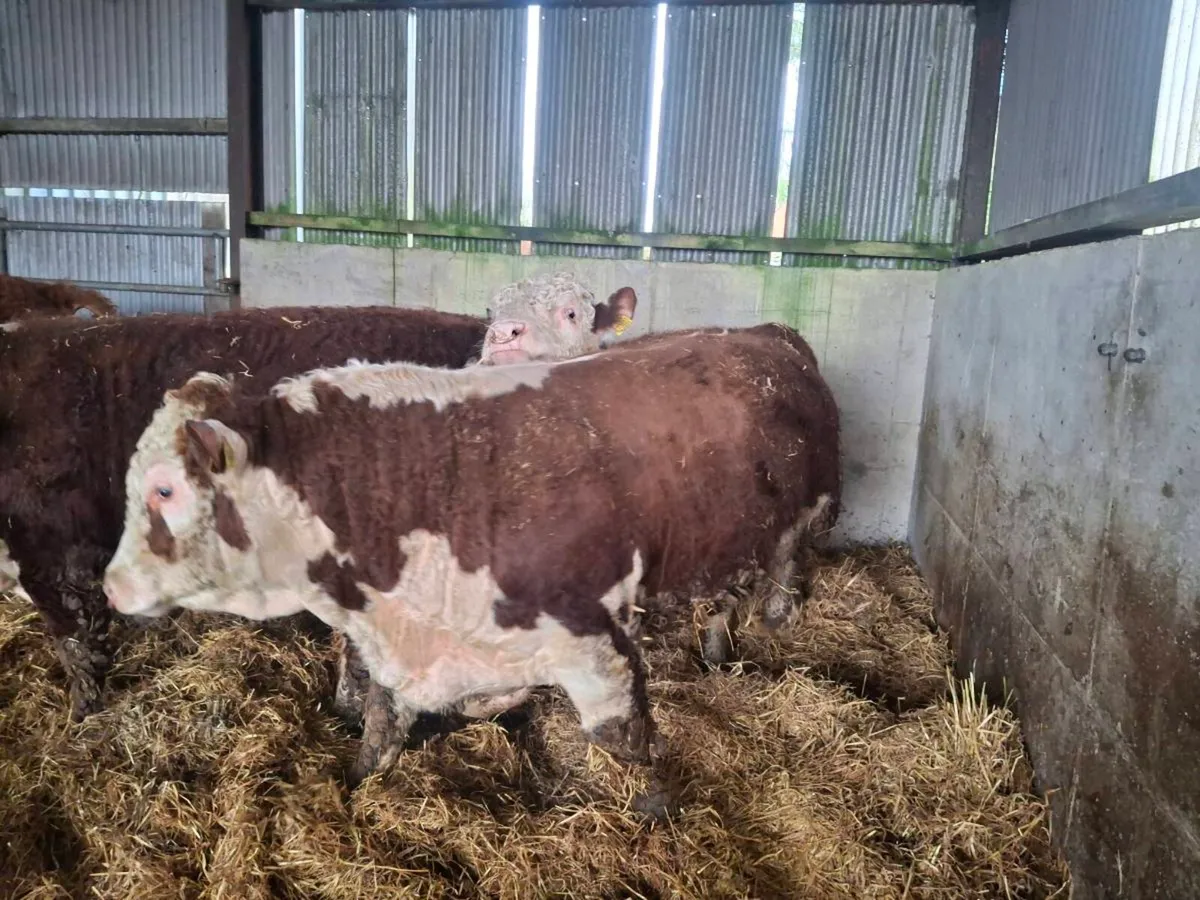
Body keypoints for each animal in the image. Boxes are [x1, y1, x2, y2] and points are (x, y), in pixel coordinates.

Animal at [101, 322, 841, 794]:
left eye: (164, 489)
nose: (112, 586)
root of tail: (766, 334)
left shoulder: (595, 646)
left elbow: (628, 749)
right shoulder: (406, 651)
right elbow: (378, 734)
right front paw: (354, 788)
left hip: (803, 531)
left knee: (780, 592)